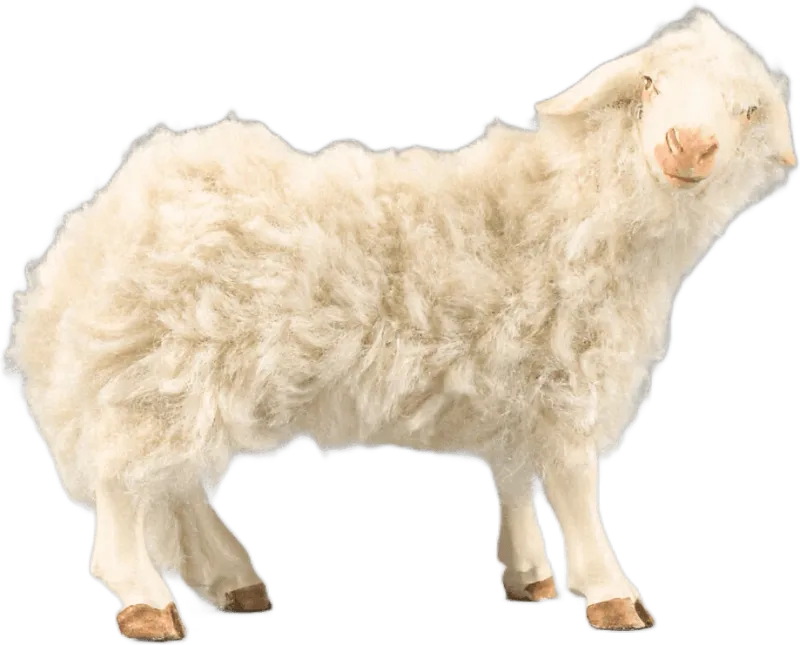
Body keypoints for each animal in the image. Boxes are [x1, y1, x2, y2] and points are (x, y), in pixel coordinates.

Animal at [4, 7, 796, 641]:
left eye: (749, 109)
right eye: (651, 85)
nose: (687, 144)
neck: (577, 207)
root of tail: (93, 234)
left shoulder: (518, 384)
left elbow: (515, 475)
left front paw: (529, 574)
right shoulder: (567, 377)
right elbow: (572, 484)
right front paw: (611, 594)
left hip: (178, 369)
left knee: (172, 483)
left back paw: (234, 579)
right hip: (158, 357)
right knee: (124, 483)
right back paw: (146, 602)